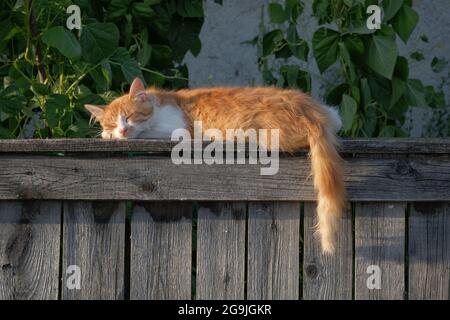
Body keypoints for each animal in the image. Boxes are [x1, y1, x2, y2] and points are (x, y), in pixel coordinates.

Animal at [84, 77, 344, 252]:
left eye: (128, 116)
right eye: (111, 123)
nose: (121, 130)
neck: (162, 104)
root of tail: (312, 113)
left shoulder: (178, 130)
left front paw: (111, 137)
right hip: (331, 112)